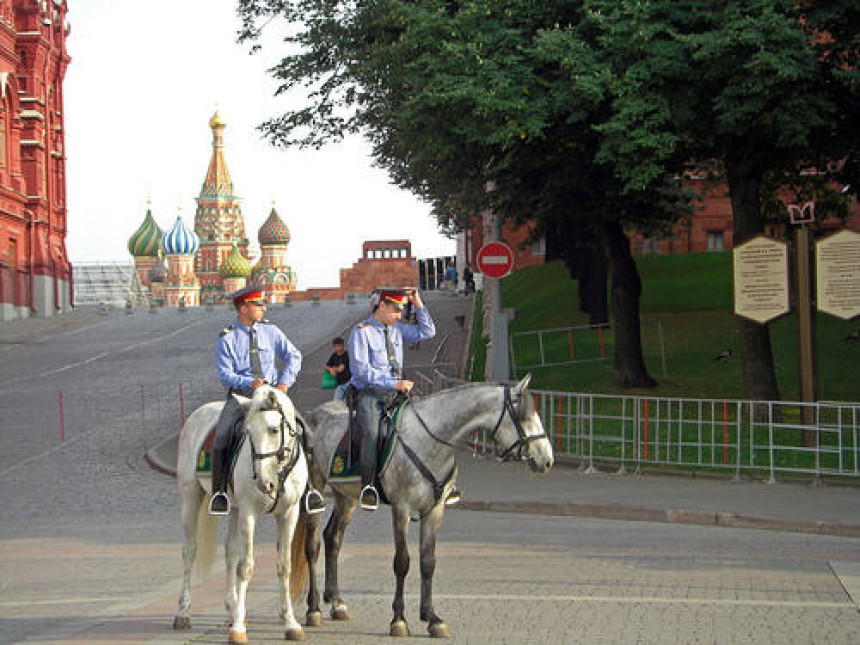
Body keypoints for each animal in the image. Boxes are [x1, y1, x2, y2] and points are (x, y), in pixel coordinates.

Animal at [173, 384, 310, 640]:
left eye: (274, 429)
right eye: (249, 432)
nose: (265, 483)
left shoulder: (289, 514)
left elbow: (284, 566)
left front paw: (290, 622)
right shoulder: (249, 513)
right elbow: (245, 567)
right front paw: (238, 628)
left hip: (234, 509)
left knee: (230, 551)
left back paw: (232, 607)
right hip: (190, 496)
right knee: (189, 551)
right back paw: (183, 612)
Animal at [298, 374, 552, 636]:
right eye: (524, 416)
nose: (547, 460)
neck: (430, 441)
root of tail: (311, 414)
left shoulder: (435, 510)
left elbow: (428, 562)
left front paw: (431, 617)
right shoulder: (401, 509)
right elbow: (402, 562)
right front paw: (399, 619)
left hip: (346, 496)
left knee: (333, 538)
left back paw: (337, 603)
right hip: (316, 491)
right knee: (312, 545)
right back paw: (313, 609)